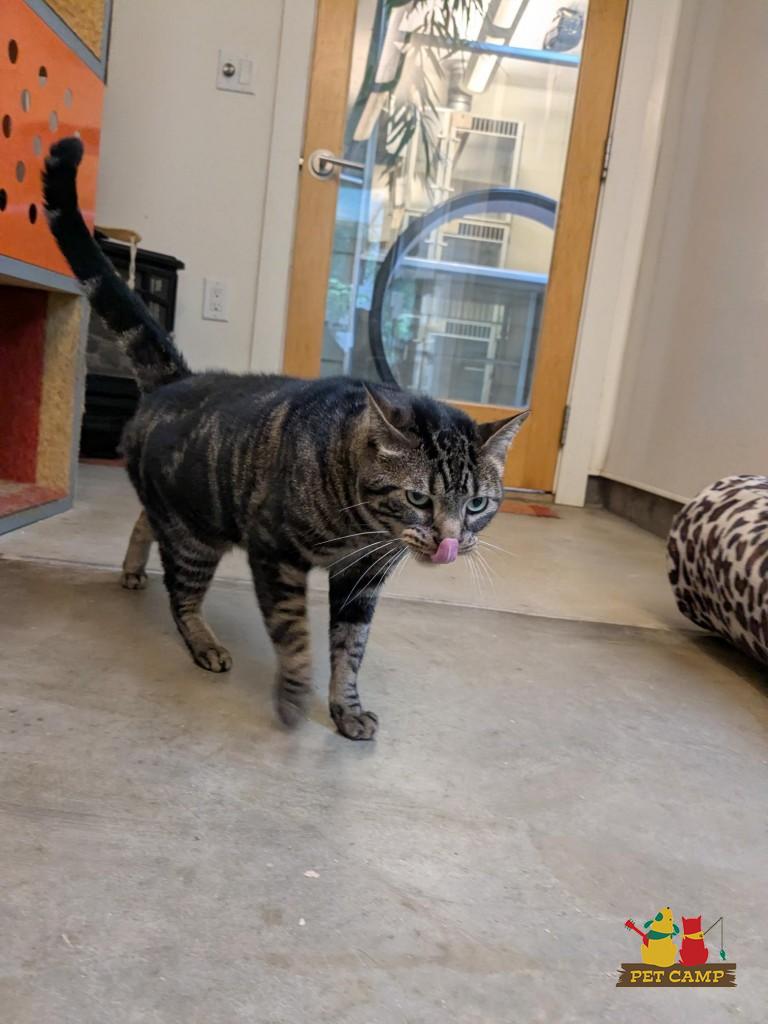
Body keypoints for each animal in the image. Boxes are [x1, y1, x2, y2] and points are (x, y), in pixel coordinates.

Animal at [43, 137, 528, 740]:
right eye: (419, 497)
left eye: (478, 504)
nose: (450, 541)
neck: (359, 524)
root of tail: (178, 377)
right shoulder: (275, 556)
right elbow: (294, 636)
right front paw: (294, 696)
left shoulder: (363, 579)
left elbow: (350, 650)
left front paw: (346, 709)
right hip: (198, 536)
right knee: (181, 591)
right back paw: (202, 641)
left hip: (190, 513)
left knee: (146, 525)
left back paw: (134, 570)